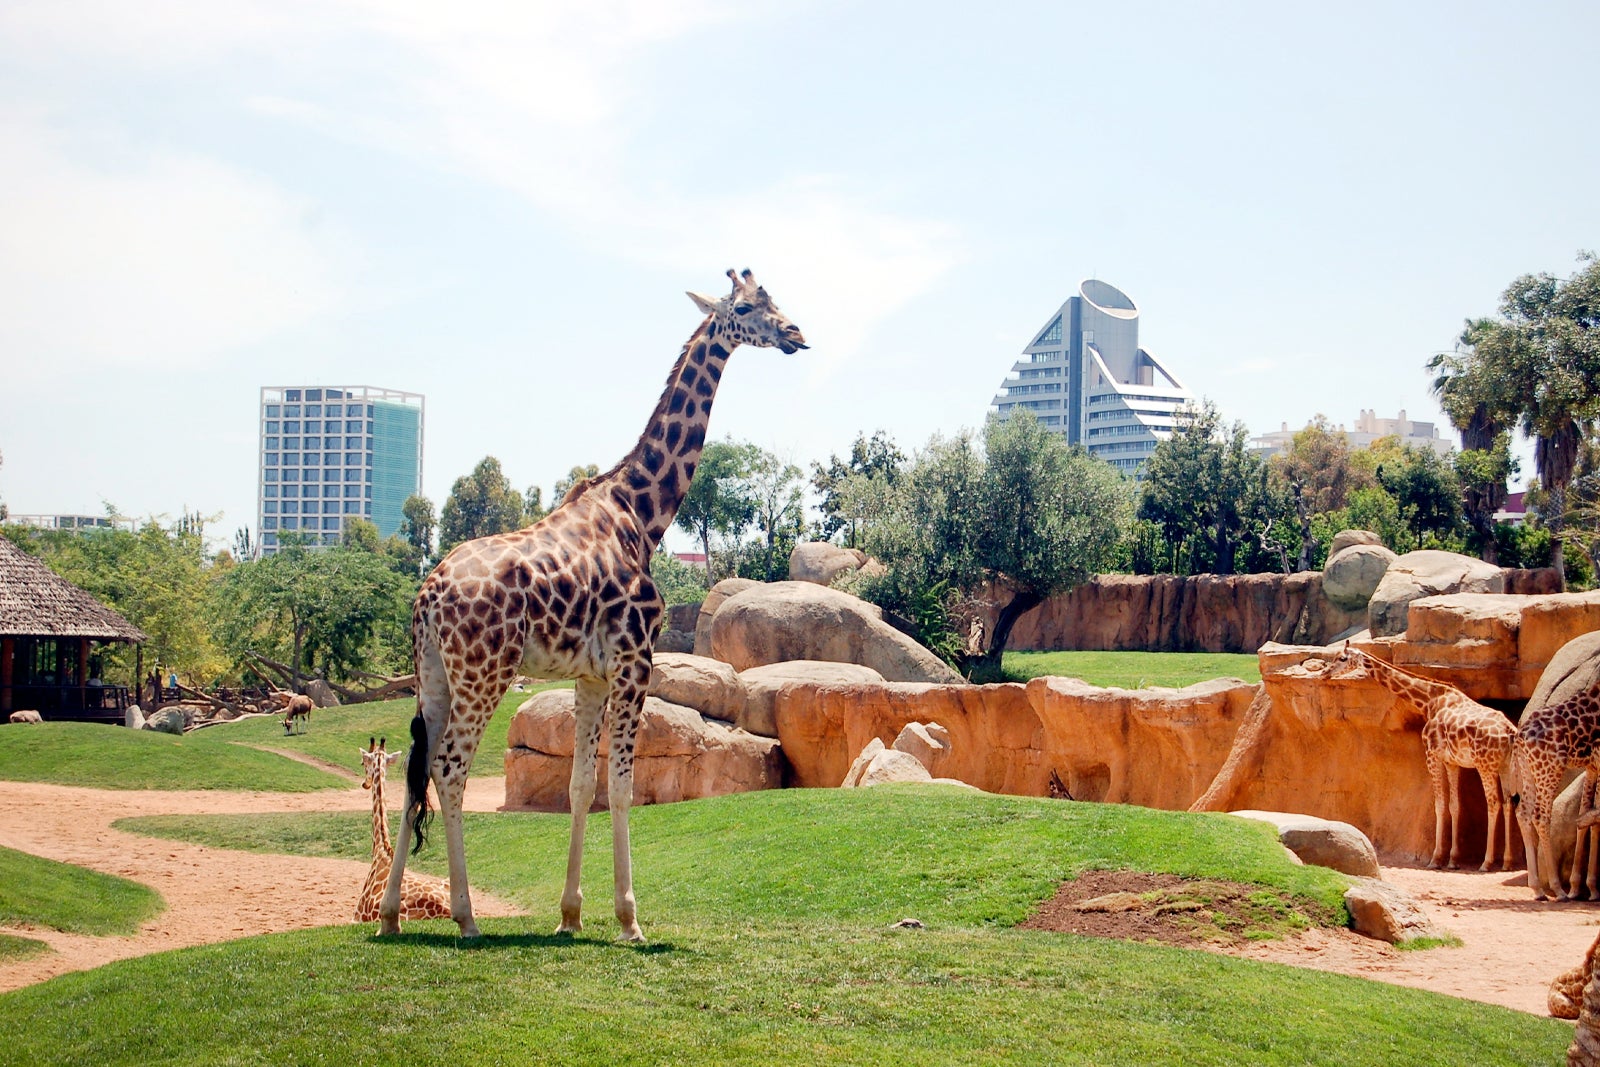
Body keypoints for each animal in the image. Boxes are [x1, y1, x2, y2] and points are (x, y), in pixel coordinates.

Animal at [382, 268, 806, 940]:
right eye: (745, 308)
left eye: (774, 299)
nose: (795, 334)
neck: (642, 513)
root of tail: (428, 595)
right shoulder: (635, 662)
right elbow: (623, 786)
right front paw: (631, 920)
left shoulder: (589, 676)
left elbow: (582, 785)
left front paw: (570, 915)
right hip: (484, 673)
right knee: (450, 769)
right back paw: (466, 916)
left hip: (433, 677)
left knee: (415, 770)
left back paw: (390, 914)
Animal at [1331, 646, 1516, 870]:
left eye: (1342, 658)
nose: (1325, 673)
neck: (1429, 701)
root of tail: (1509, 731)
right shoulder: (1451, 761)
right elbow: (1455, 806)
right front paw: (1453, 859)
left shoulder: (1431, 755)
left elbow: (1439, 805)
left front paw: (1436, 859)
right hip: (1505, 766)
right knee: (1508, 803)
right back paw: (1507, 861)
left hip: (1485, 765)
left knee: (1494, 802)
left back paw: (1487, 862)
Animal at [1504, 681, 1600, 895]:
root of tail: (1520, 736)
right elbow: (1593, 816)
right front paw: (1585, 888)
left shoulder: (1592, 766)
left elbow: (1587, 815)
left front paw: (1585, 887)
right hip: (1550, 770)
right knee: (1540, 816)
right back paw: (1558, 889)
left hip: (1530, 771)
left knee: (1523, 812)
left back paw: (1538, 889)